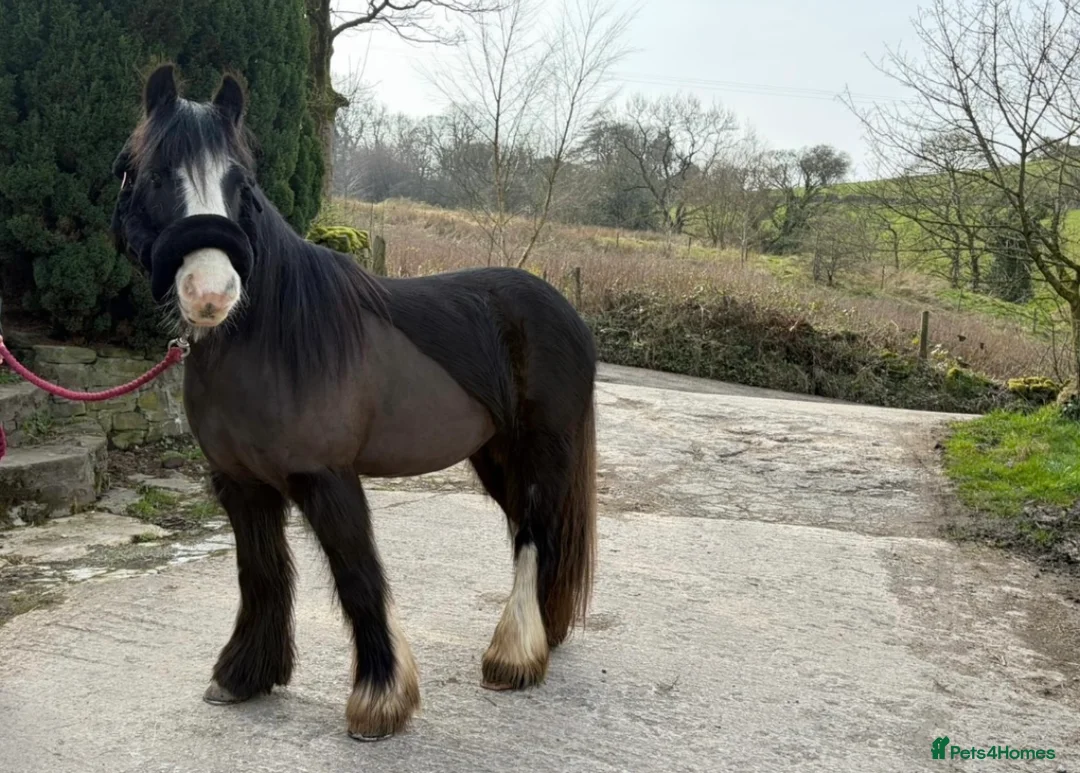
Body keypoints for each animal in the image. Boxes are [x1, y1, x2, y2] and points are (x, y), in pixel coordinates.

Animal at [109, 64, 598, 741]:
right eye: (156, 174)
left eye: (240, 182)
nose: (213, 292)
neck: (274, 337)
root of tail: (563, 310)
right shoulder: (241, 484)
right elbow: (261, 574)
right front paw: (243, 676)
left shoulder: (327, 478)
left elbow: (357, 575)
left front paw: (379, 701)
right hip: (494, 456)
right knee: (534, 536)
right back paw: (544, 635)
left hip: (542, 453)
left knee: (535, 535)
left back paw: (514, 658)